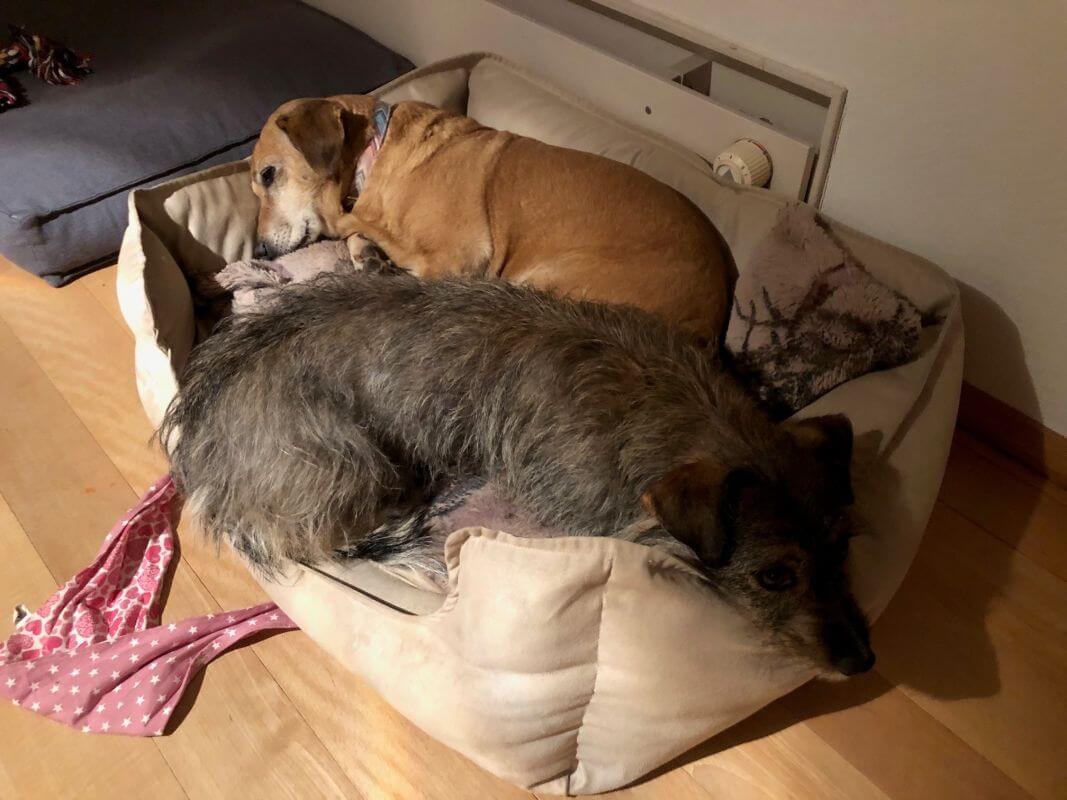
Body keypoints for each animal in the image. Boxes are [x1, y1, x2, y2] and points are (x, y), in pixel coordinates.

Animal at [161, 272, 873, 676]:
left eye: (843, 548)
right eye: (775, 576)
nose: (864, 662)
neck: (675, 408)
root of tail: (202, 451)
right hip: (353, 463)